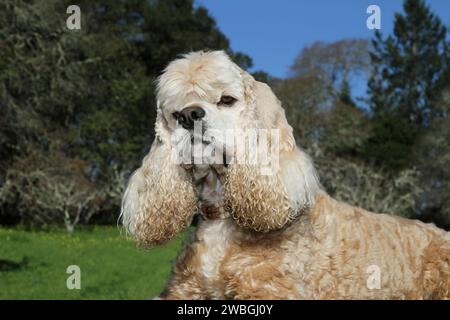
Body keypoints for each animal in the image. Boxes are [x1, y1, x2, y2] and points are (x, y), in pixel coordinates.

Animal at [120, 50, 450, 300]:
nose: (189, 116)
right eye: (174, 113)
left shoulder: (270, 289)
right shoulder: (182, 289)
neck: (223, 219)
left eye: (227, 99)